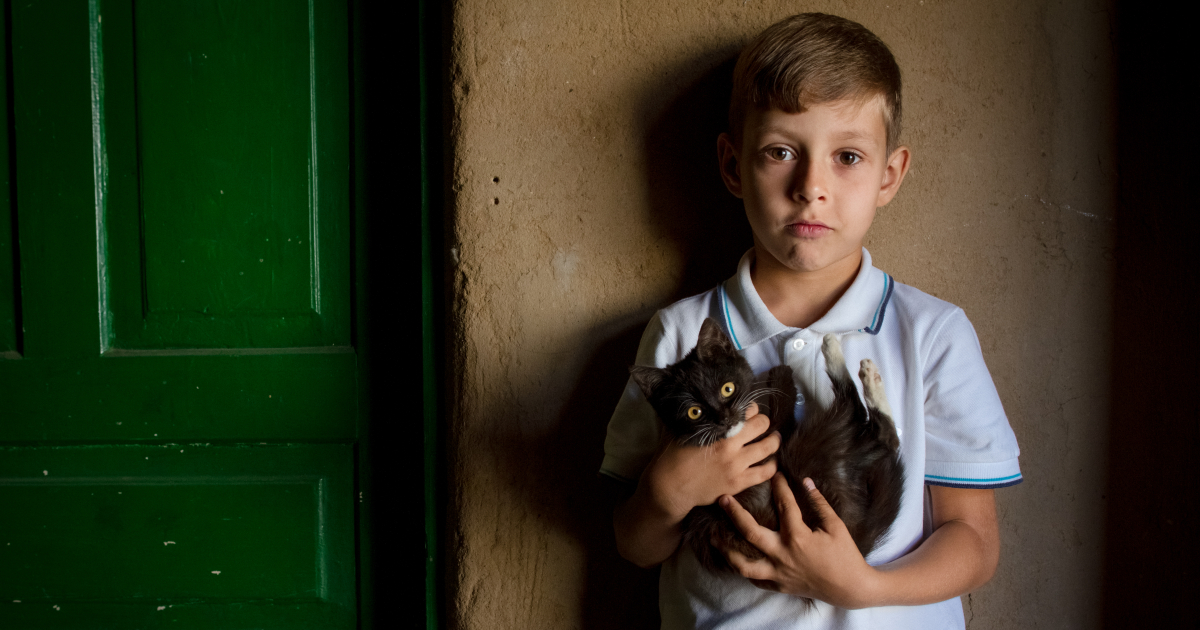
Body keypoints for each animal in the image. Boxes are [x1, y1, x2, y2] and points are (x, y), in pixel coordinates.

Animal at [633, 316, 902, 583]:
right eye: (694, 412)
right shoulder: (771, 448)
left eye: (727, 388)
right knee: (874, 426)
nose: (724, 419)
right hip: (803, 463)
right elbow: (780, 423)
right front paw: (782, 376)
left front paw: (777, 376)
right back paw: (849, 361)